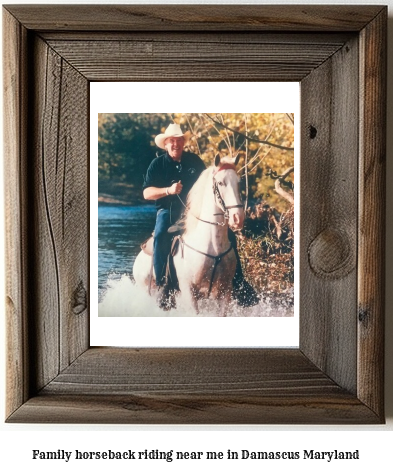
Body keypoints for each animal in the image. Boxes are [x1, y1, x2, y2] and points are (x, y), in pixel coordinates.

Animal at [133, 154, 243, 316]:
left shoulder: (225, 291)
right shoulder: (190, 292)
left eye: (238, 182)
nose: (238, 218)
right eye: (221, 183)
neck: (212, 246)